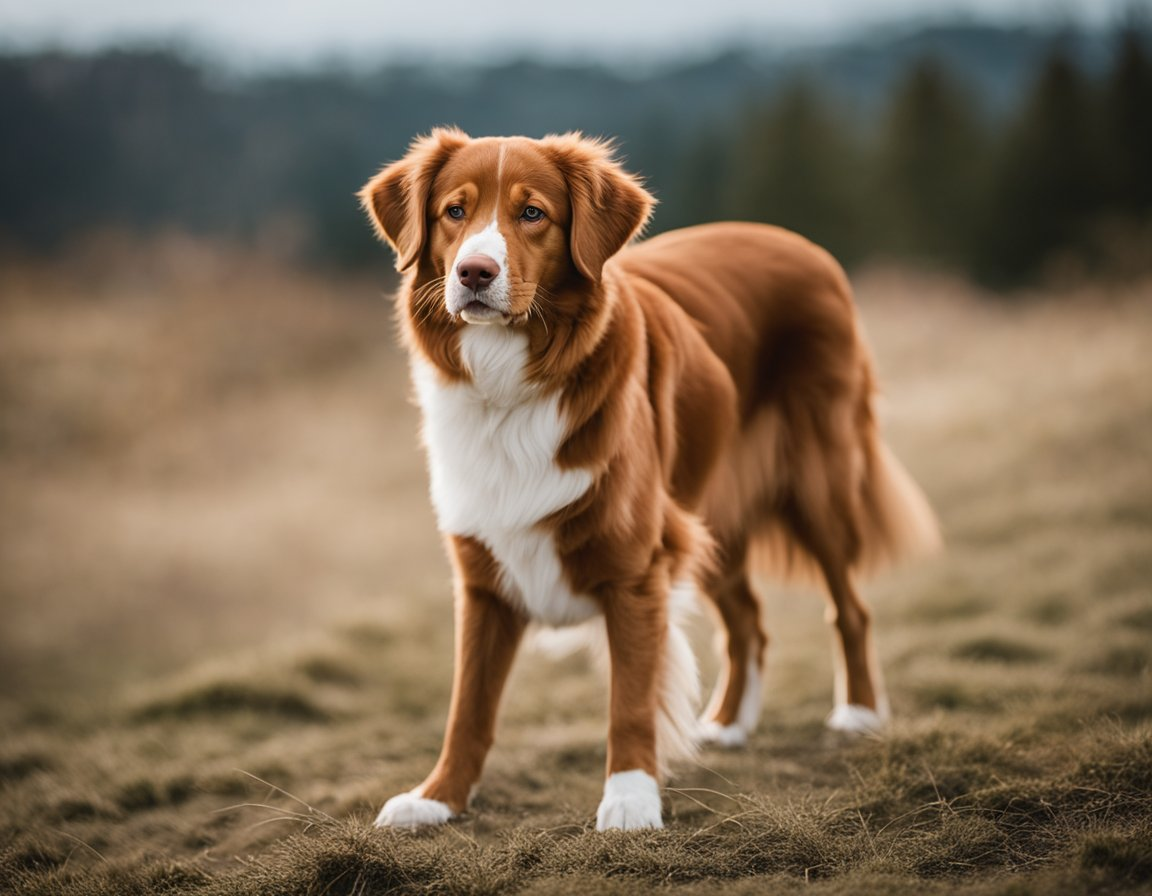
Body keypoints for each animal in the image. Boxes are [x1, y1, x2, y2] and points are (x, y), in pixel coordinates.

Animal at [357, 127, 935, 829]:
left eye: (533, 213)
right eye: (454, 212)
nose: (474, 273)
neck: (509, 386)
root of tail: (801, 243)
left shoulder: (635, 570)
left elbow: (629, 700)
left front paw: (631, 799)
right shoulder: (483, 581)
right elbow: (468, 706)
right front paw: (436, 798)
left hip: (817, 485)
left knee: (849, 607)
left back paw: (858, 713)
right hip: (706, 517)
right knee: (747, 620)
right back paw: (729, 724)